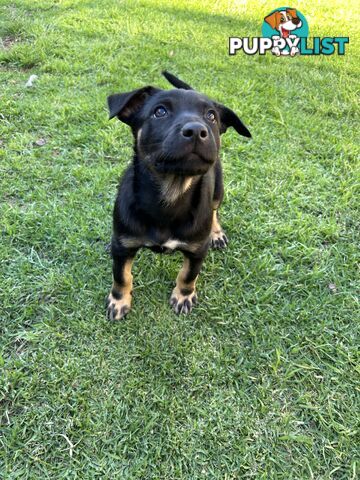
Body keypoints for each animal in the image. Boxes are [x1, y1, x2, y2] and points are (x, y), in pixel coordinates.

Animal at [104, 72, 250, 318]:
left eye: (211, 116)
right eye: (160, 111)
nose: (197, 131)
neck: (170, 195)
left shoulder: (197, 250)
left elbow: (188, 275)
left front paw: (183, 296)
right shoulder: (124, 245)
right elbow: (121, 276)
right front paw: (119, 301)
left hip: (218, 189)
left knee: (214, 210)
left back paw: (216, 233)